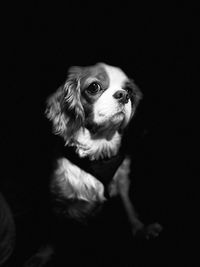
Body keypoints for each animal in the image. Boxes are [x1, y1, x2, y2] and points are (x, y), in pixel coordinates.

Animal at [25, 62, 162, 266]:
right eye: (94, 87)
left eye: (129, 90)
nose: (123, 95)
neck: (98, 149)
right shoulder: (58, 202)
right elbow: (51, 231)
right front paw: (42, 255)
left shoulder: (122, 182)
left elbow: (129, 206)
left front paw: (140, 228)